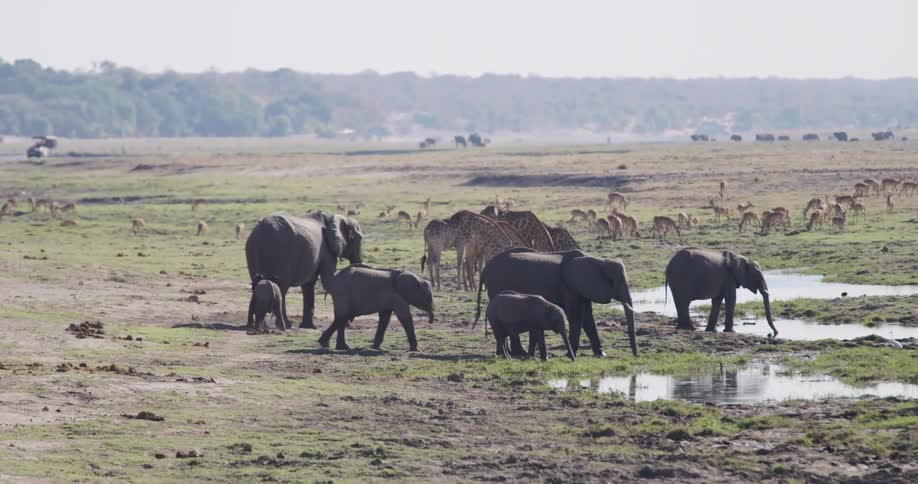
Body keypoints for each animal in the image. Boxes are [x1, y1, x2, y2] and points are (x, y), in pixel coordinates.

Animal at [475, 248, 637, 358]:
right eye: (613, 281)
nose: (636, 355)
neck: (595, 260)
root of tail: (486, 267)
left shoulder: (582, 288)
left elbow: (587, 317)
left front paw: (601, 354)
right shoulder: (570, 287)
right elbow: (575, 316)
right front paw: (570, 354)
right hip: (496, 284)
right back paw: (518, 354)